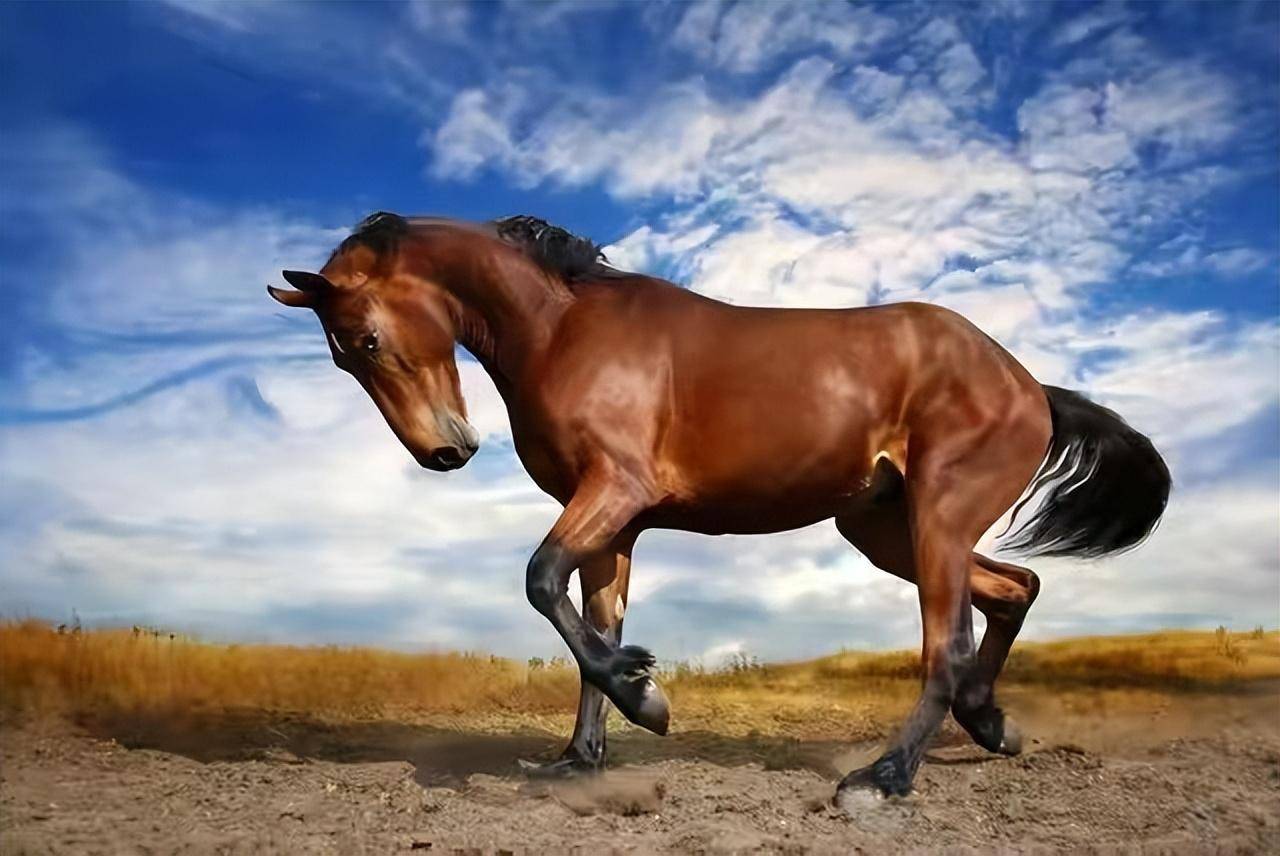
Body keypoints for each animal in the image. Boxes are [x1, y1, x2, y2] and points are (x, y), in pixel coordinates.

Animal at [268, 211, 1170, 806]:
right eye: (344, 359)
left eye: (366, 341)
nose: (445, 453)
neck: (563, 330)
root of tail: (1028, 386)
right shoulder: (616, 526)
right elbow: (591, 628)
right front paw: (581, 756)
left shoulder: (615, 490)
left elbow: (539, 580)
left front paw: (648, 700)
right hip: (883, 528)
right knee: (1017, 590)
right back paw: (993, 727)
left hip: (937, 522)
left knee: (945, 645)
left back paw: (882, 779)